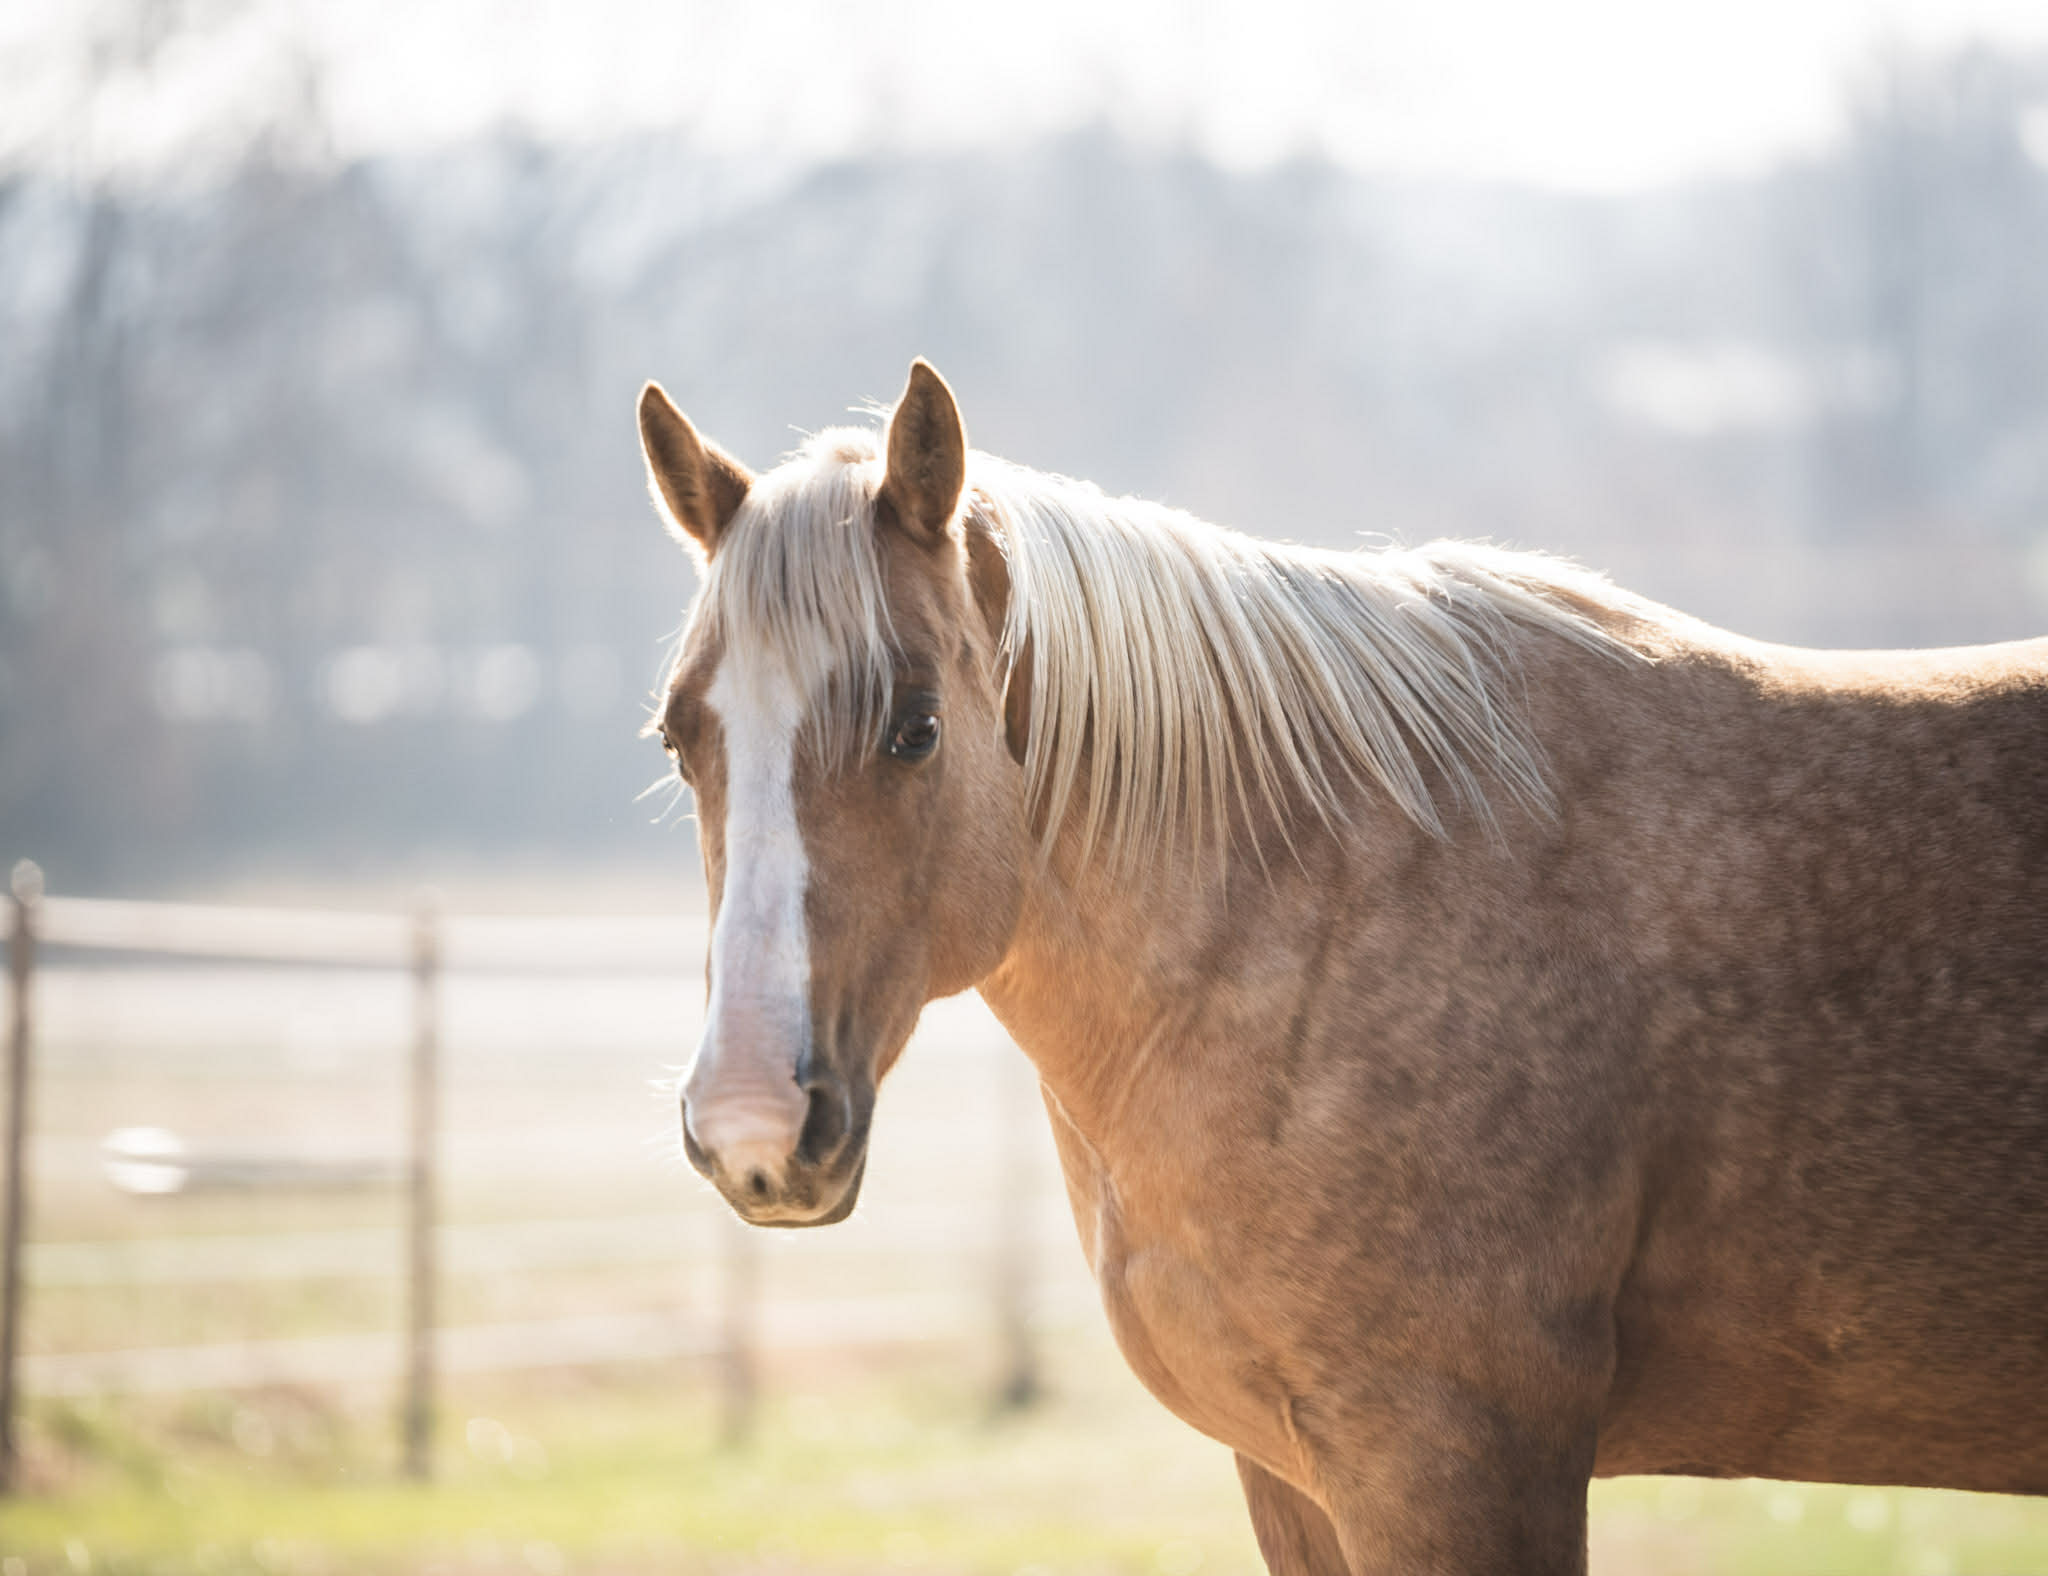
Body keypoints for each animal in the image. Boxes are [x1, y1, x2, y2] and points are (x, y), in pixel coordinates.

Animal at [637, 358, 2048, 1575]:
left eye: (915, 727)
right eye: (678, 736)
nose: (752, 1121)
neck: (1315, 907)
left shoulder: (1451, 1457)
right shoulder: (1294, 1473)